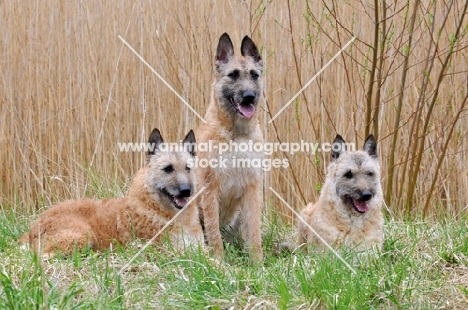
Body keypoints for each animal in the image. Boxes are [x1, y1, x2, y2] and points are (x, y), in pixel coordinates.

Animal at [196, 32, 266, 260]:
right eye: (233, 75)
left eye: (254, 75)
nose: (249, 97)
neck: (237, 136)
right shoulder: (209, 188)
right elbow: (213, 229)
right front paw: (218, 260)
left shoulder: (252, 188)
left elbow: (254, 231)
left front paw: (257, 262)